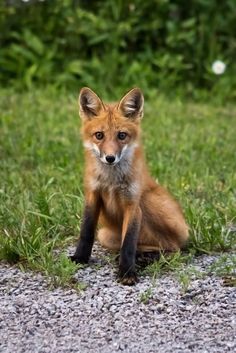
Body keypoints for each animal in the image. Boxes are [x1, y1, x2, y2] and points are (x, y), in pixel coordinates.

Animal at [71, 86, 189, 284]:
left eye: (122, 136)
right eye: (99, 135)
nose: (110, 158)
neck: (111, 181)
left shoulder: (133, 204)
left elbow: (128, 244)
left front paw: (126, 272)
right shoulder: (92, 196)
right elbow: (86, 232)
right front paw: (80, 258)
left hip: (150, 203)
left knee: (173, 249)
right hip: (106, 236)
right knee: (147, 246)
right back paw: (141, 258)